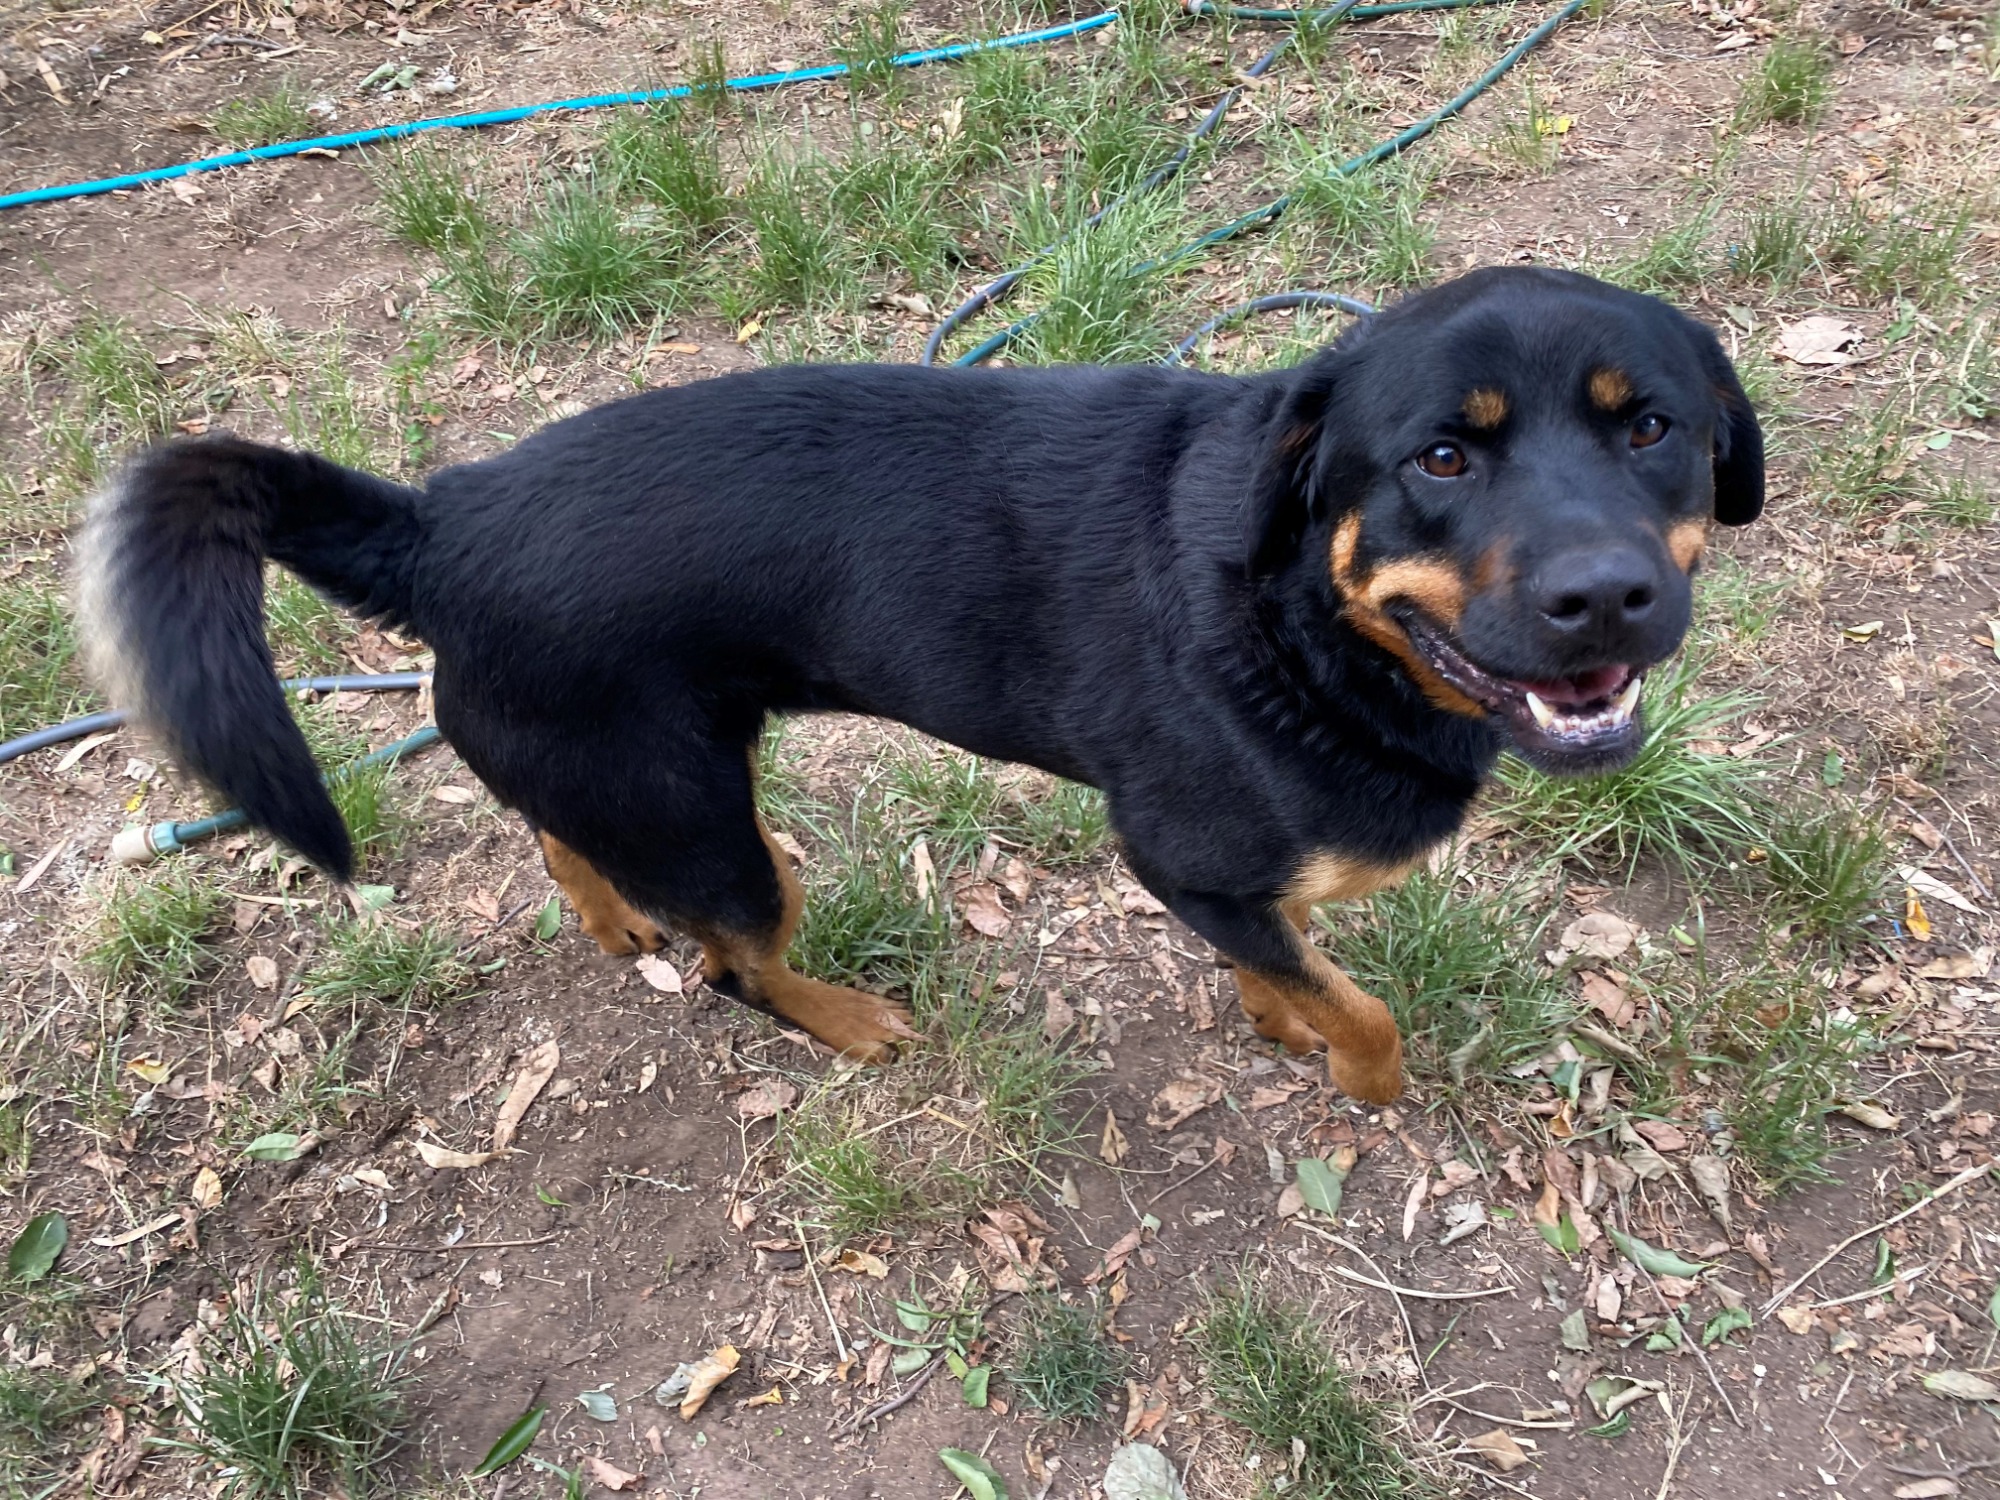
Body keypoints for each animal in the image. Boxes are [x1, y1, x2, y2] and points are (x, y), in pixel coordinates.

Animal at [77, 267, 1762, 1105]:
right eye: (1441, 459)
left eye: (1652, 427)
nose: (1607, 593)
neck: (1302, 617)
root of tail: (443, 520)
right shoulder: (1186, 858)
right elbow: (1359, 1007)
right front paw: (1351, 1075)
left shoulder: (1230, 888)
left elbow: (1286, 967)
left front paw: (1275, 1021)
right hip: (709, 826)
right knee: (742, 962)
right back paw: (845, 1017)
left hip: (636, 772)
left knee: (562, 832)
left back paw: (611, 914)